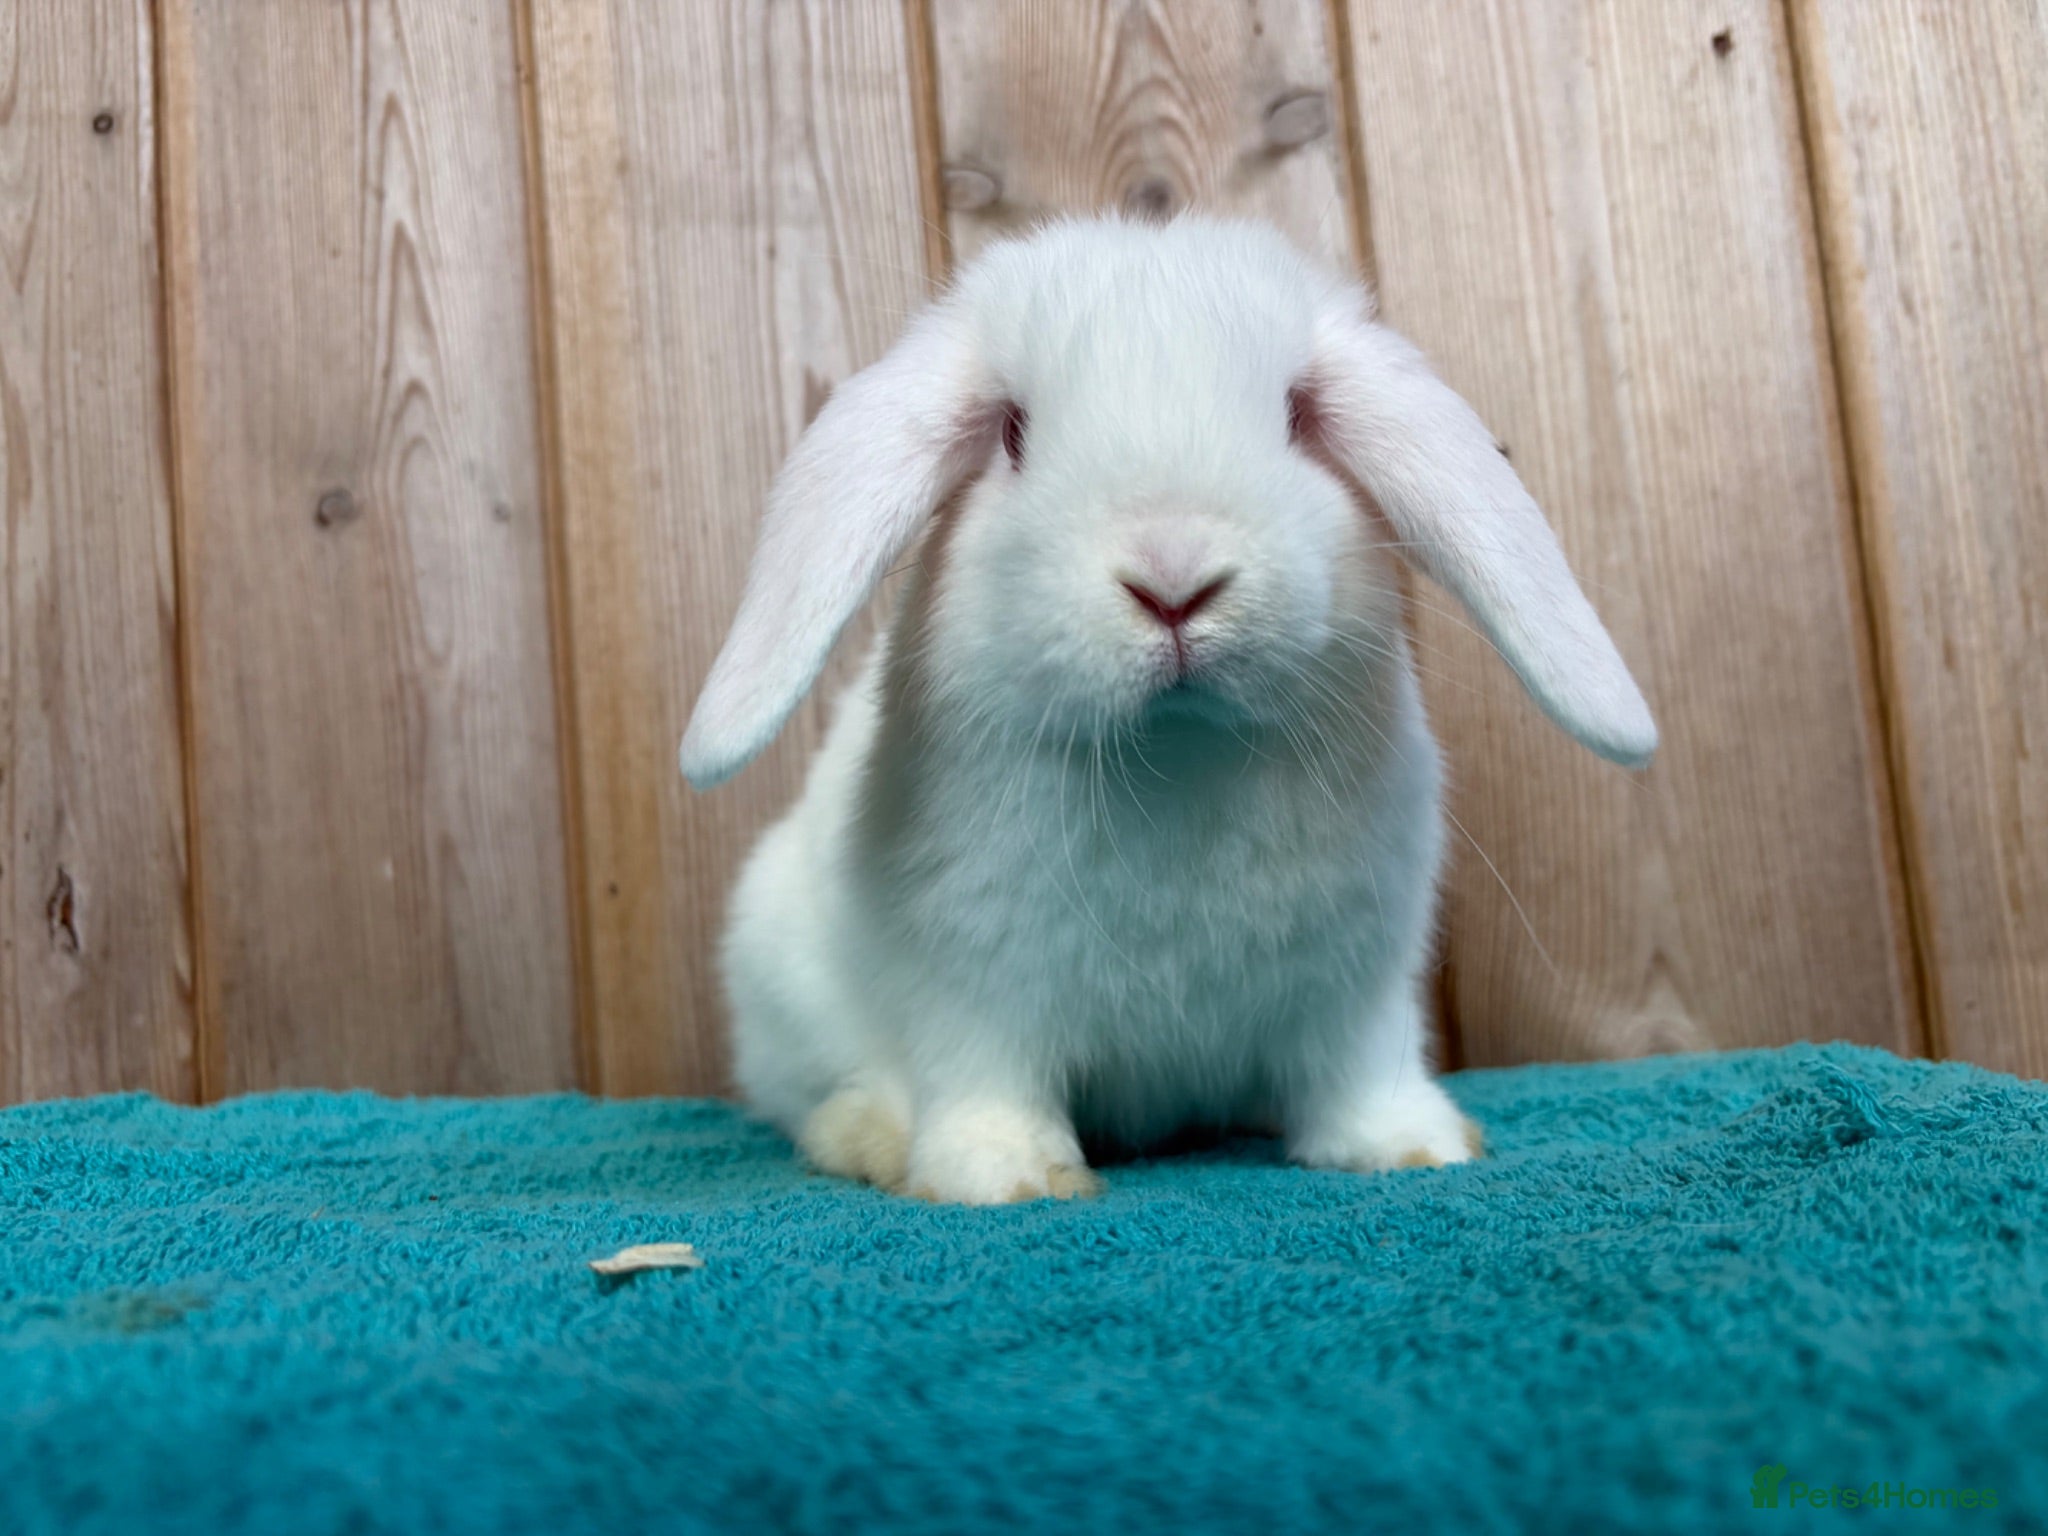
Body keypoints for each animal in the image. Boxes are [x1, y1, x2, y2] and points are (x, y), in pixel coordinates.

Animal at [679, 215, 1654, 1205]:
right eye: (1014, 434)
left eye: (1298, 417)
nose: (1174, 579)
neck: (1175, 754)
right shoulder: (975, 988)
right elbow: (987, 1084)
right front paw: (1012, 1179)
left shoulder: (1362, 985)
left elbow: (1362, 1074)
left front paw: (1414, 1147)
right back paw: (866, 1137)